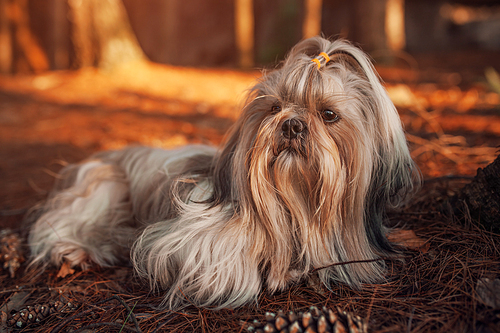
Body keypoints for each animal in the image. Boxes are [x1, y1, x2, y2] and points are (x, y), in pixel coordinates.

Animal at [27, 37, 418, 308]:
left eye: (329, 115)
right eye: (274, 108)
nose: (291, 124)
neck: (295, 208)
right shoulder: (177, 241)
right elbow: (225, 259)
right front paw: (276, 270)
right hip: (102, 186)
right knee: (62, 225)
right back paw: (76, 250)